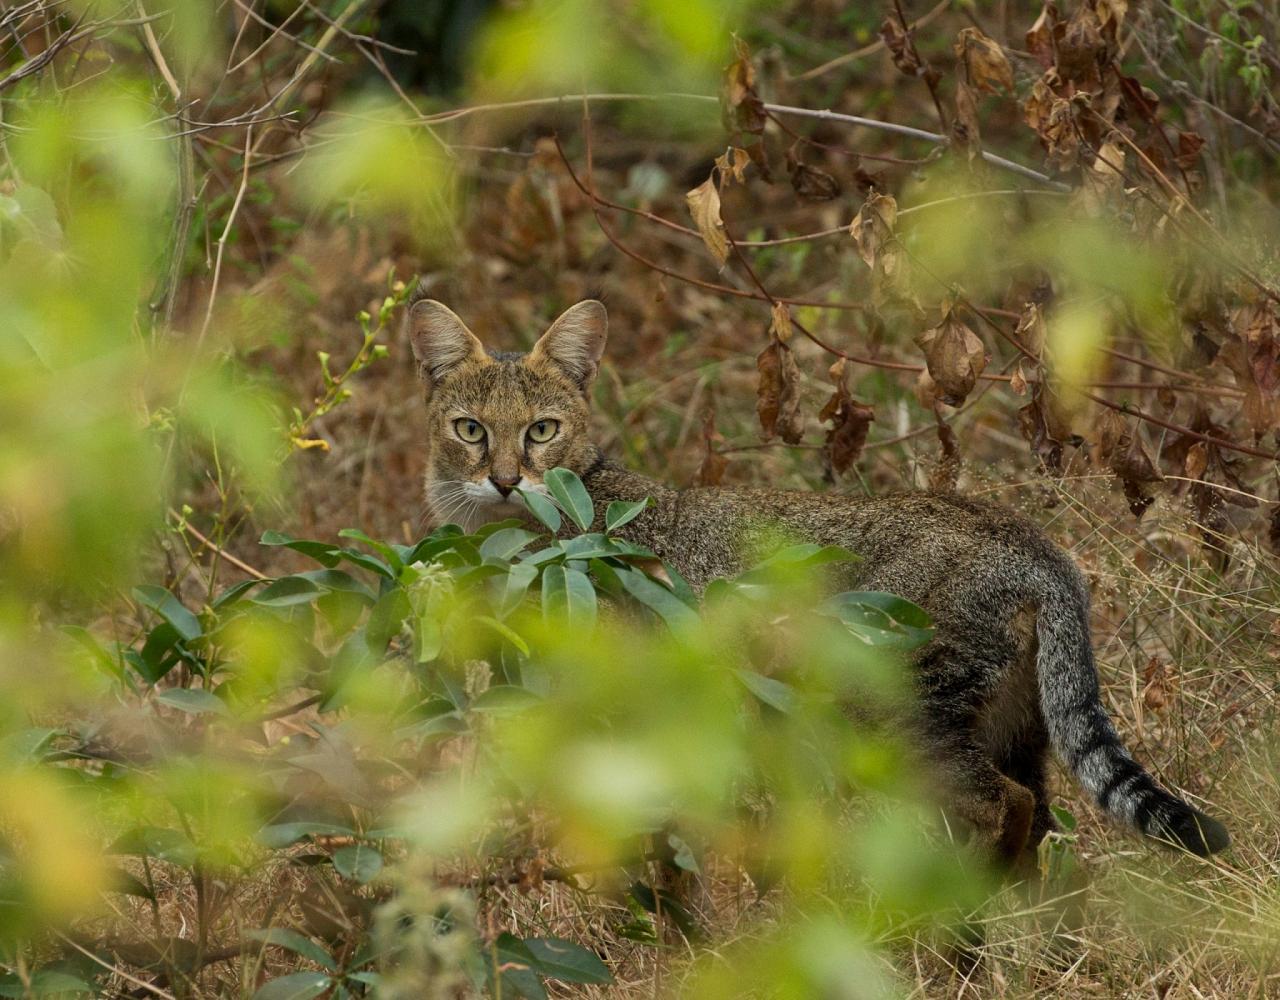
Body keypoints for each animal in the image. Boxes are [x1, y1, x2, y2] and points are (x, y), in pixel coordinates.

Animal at [407, 293, 1228, 860]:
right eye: (470, 430)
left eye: (541, 430)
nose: (504, 480)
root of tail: (1036, 545)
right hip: (1014, 725)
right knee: (1042, 816)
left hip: (909, 717)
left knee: (1008, 806)